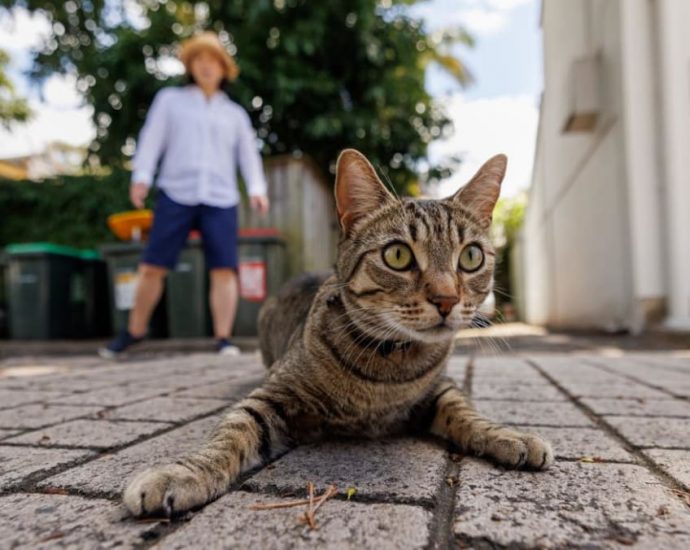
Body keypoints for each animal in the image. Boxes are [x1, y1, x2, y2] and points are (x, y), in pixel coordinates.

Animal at [123, 149, 552, 520]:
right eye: (398, 255)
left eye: (471, 257)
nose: (447, 299)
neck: (386, 367)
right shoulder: (270, 395)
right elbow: (231, 433)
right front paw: (182, 473)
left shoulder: (440, 388)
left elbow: (467, 412)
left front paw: (509, 436)